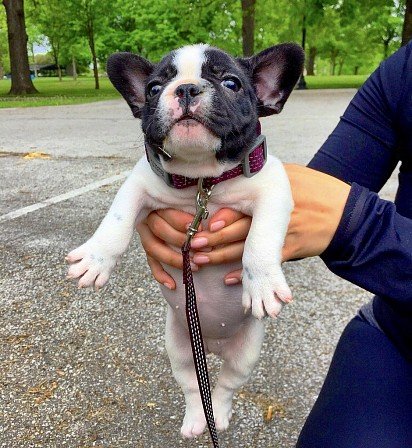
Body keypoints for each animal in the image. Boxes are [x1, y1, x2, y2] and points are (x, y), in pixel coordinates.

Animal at [67, 44, 302, 438]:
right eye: (153, 88)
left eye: (231, 83)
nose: (187, 89)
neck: (201, 180)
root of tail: (213, 345)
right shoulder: (140, 183)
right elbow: (117, 218)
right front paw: (95, 258)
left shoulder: (273, 189)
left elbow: (262, 238)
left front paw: (263, 284)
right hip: (178, 346)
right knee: (194, 386)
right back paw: (196, 419)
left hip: (247, 352)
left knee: (225, 385)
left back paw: (217, 416)